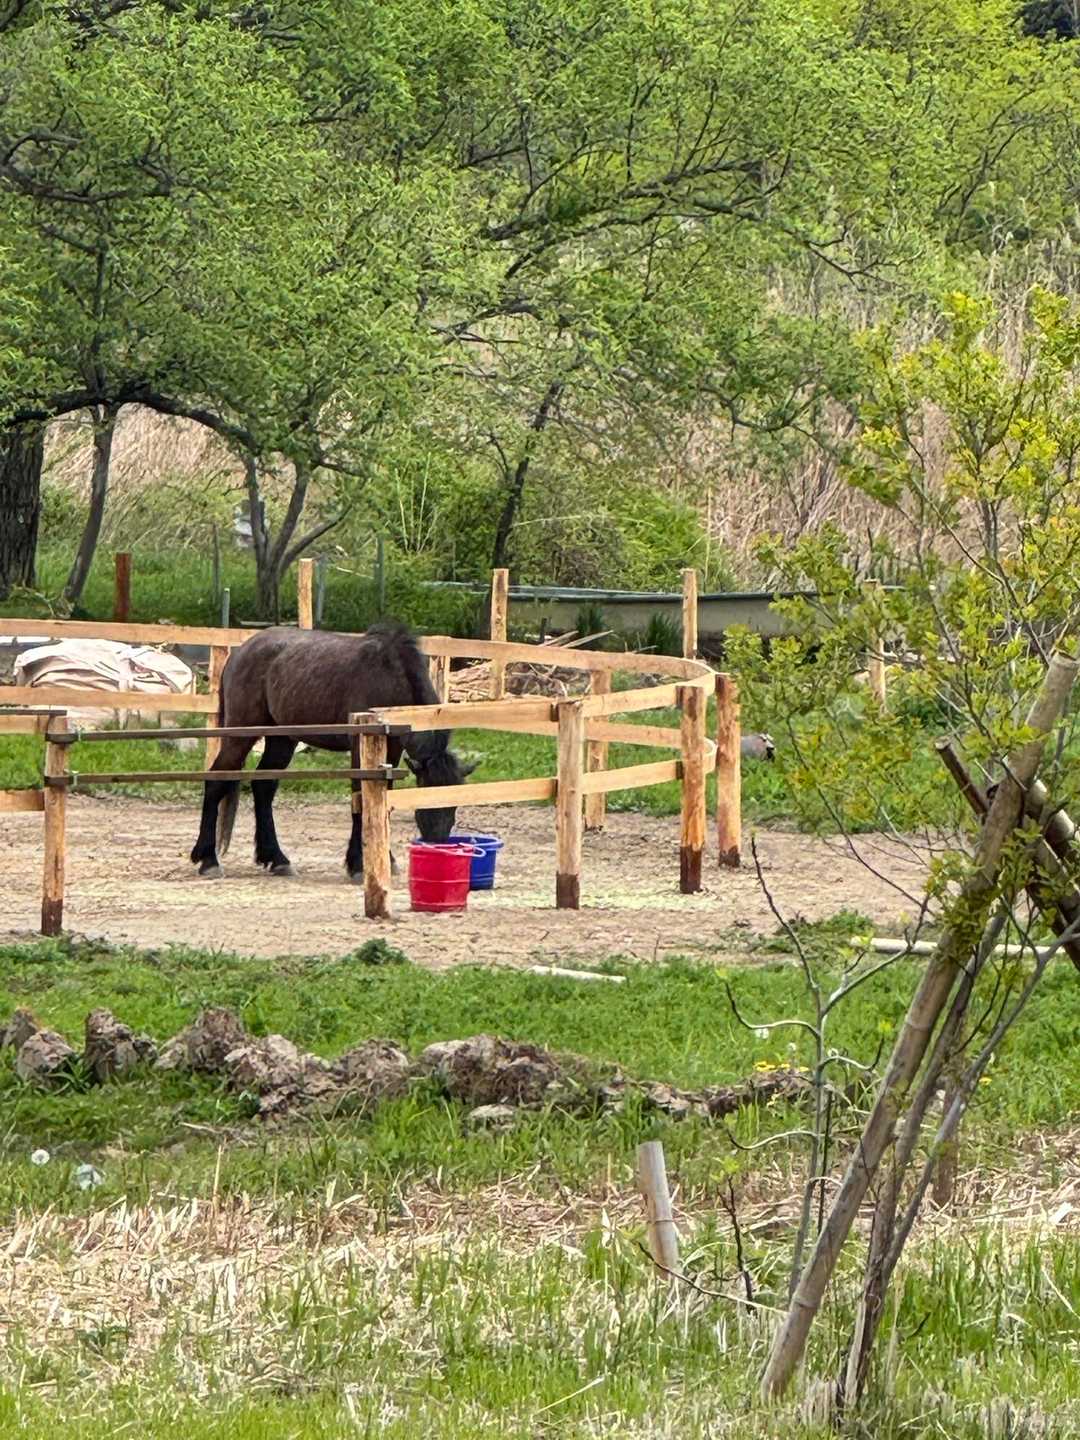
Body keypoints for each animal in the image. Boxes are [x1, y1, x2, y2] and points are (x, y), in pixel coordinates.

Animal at [190, 622, 473, 880]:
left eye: (455, 802)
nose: (438, 845)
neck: (392, 678)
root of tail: (240, 652)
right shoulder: (360, 746)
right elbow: (361, 800)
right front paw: (358, 865)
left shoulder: (392, 751)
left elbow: (383, 801)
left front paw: (386, 860)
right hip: (241, 734)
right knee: (216, 781)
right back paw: (208, 859)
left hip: (282, 739)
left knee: (263, 788)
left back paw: (277, 859)